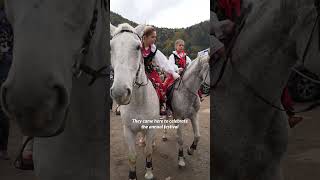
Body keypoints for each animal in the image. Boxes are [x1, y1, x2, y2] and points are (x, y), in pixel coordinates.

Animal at [110, 23, 159, 180]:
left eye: (138, 47)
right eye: (111, 47)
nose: (120, 92)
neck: (139, 102)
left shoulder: (151, 127)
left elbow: (148, 151)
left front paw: (149, 172)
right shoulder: (128, 130)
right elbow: (132, 156)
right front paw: (132, 175)